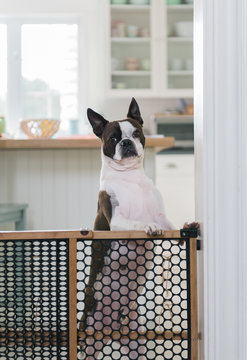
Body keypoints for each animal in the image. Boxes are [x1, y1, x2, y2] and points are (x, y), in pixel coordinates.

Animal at [79, 98, 185, 360]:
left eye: (136, 133)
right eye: (113, 138)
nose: (127, 142)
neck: (130, 178)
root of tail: (110, 330)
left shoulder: (161, 214)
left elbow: (171, 225)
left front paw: (188, 226)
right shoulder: (117, 221)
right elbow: (138, 223)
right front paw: (149, 227)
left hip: (136, 343)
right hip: (87, 338)